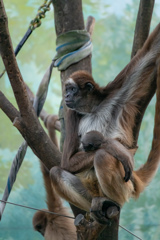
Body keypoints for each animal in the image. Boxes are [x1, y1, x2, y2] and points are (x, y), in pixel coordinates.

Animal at [49, 22, 160, 219]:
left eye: (72, 89)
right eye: (67, 90)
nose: (66, 96)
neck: (92, 108)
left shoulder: (116, 93)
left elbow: (151, 51)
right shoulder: (71, 112)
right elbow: (67, 161)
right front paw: (117, 148)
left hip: (125, 186)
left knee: (102, 156)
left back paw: (114, 201)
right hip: (90, 190)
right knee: (56, 172)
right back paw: (97, 203)